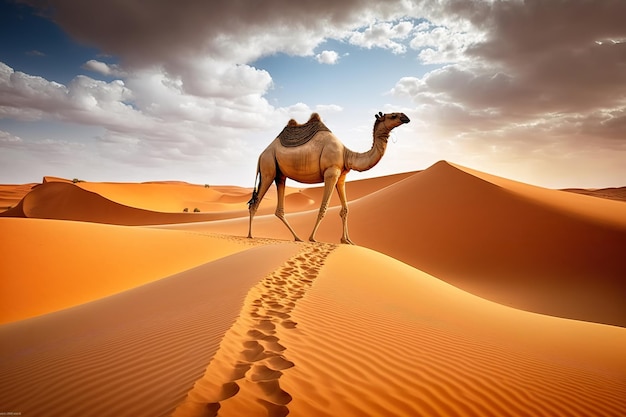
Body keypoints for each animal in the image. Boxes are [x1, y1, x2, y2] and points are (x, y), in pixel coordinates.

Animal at [246, 110, 412, 244]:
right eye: (393, 115)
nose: (406, 117)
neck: (346, 154)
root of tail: (261, 155)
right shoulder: (331, 173)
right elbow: (323, 208)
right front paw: (312, 238)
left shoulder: (341, 177)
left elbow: (345, 209)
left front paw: (347, 240)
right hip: (268, 168)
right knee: (255, 203)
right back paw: (250, 235)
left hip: (279, 174)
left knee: (278, 208)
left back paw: (297, 238)